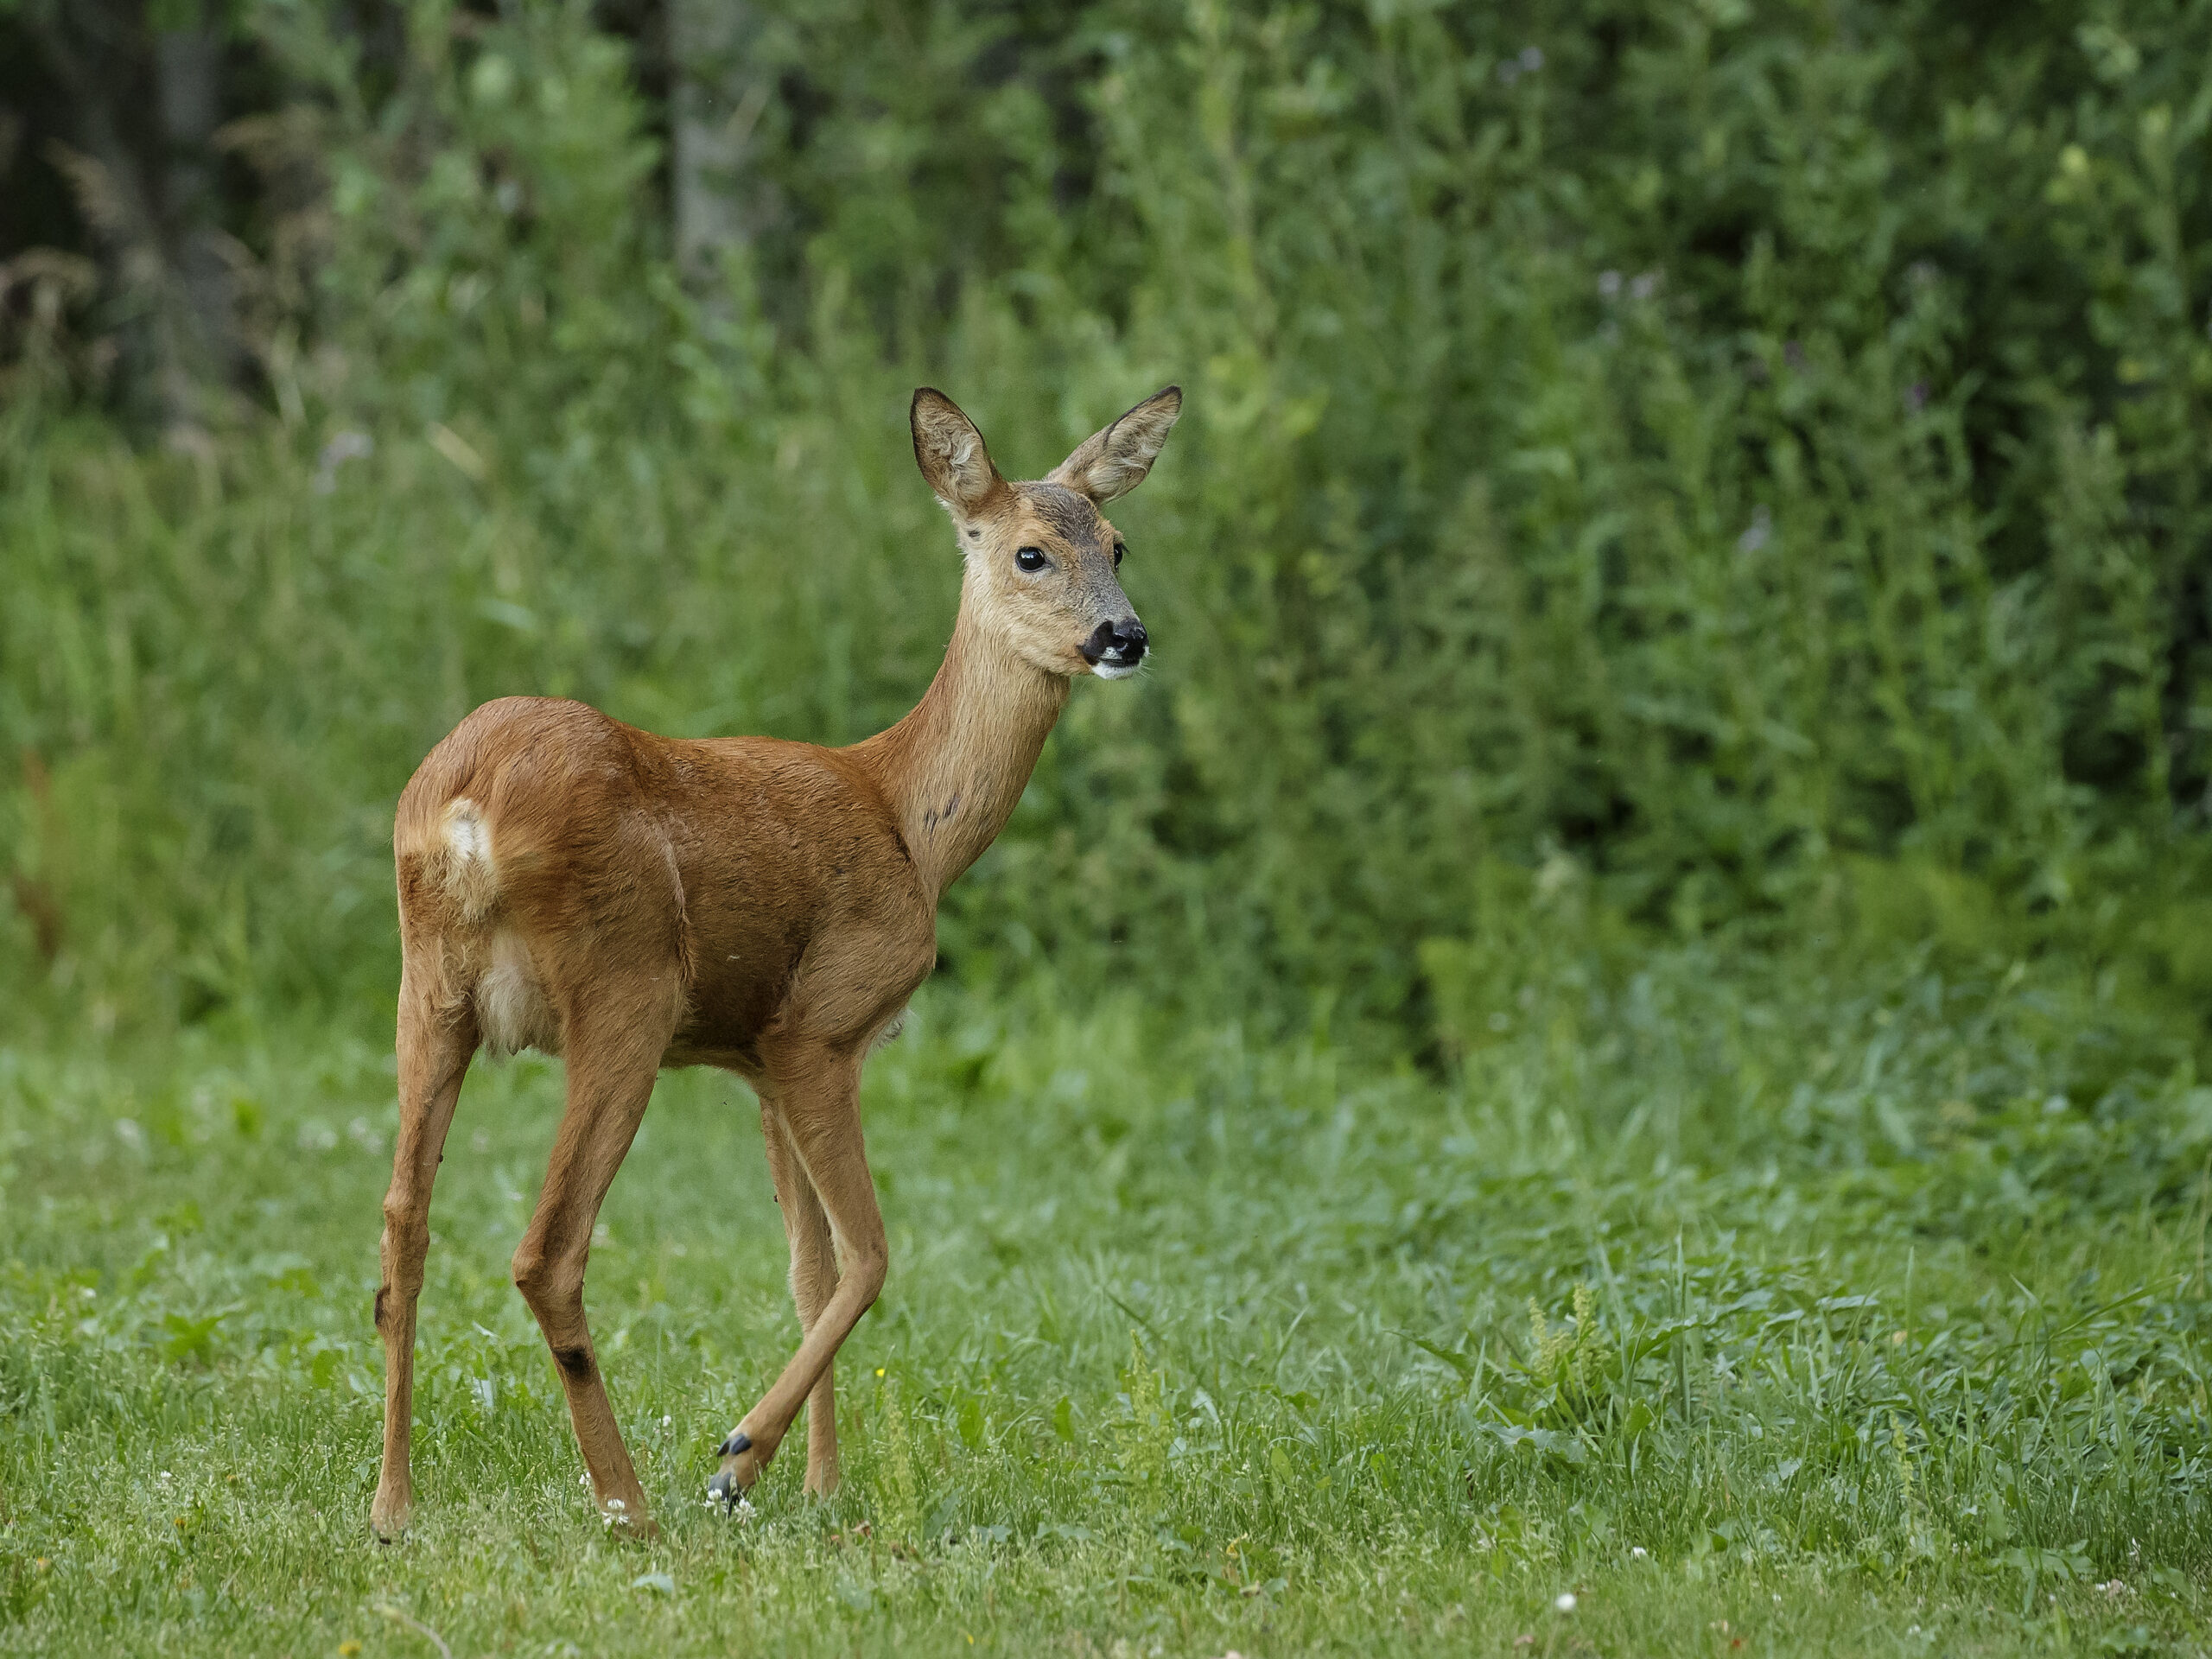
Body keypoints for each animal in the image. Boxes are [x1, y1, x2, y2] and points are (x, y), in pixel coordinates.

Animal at [369, 385, 1182, 1539]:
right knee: (547, 1249)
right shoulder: (820, 1026)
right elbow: (870, 1253)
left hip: (427, 988)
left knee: (404, 1226)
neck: (907, 820)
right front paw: (739, 1461)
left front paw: (819, 1487)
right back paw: (629, 1504)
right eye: (1030, 552)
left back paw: (392, 1507)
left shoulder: (754, 1059)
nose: (1124, 635)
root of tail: (468, 803)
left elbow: (808, 1266)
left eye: (1118, 543)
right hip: (625, 990)